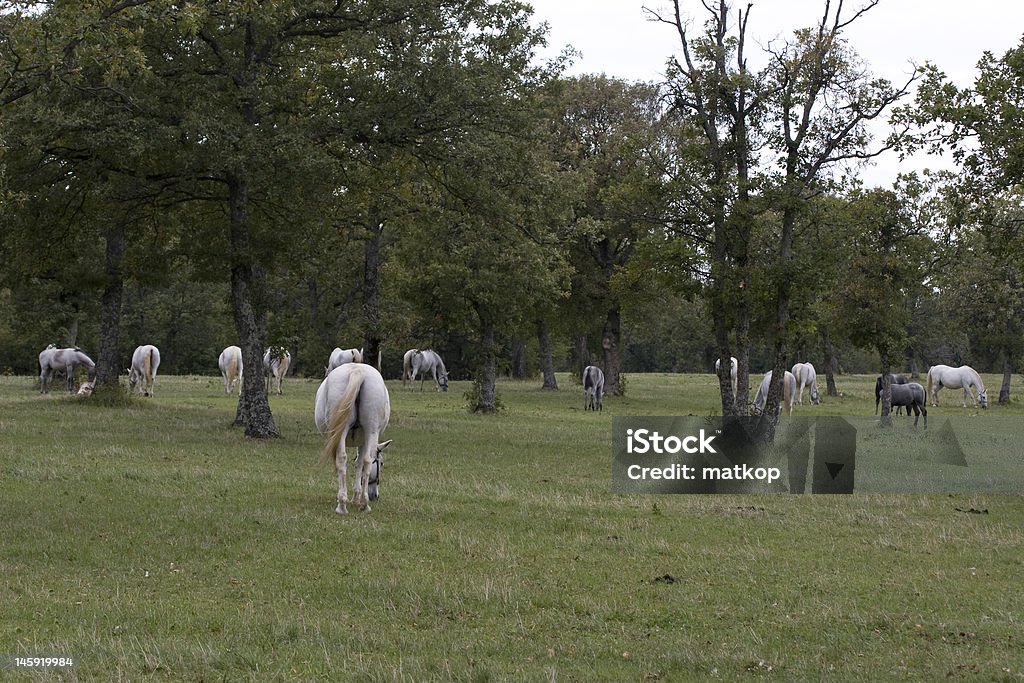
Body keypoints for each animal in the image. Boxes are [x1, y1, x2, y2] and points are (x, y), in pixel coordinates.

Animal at [313, 362, 389, 511]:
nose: (375, 496)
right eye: (382, 463)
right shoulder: (364, 441)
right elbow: (360, 464)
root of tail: (358, 370)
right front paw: (356, 497)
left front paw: (354, 497)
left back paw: (344, 504)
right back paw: (360, 504)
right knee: (364, 460)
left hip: (351, 431)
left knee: (345, 459)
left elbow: (358, 463)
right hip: (370, 431)